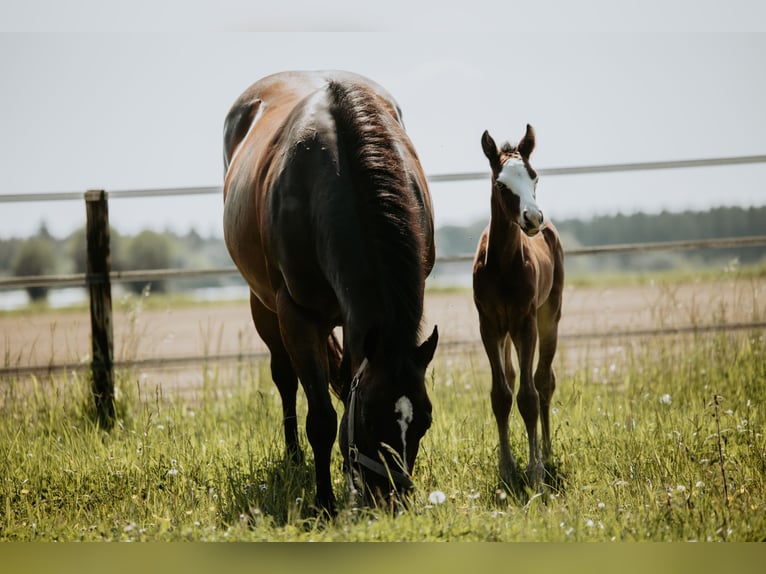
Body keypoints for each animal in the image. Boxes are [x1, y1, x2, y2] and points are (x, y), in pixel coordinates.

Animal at [222, 70, 439, 514]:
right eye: (370, 418)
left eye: (424, 420)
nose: (391, 499)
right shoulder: (297, 315)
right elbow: (321, 419)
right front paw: (324, 502)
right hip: (265, 309)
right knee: (285, 378)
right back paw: (294, 457)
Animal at [472, 125, 564, 490]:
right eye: (501, 184)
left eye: (534, 176)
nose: (533, 217)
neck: (502, 265)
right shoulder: (489, 326)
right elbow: (501, 395)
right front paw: (507, 468)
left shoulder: (526, 323)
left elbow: (528, 396)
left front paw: (535, 472)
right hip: (507, 332)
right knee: (513, 378)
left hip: (549, 317)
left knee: (543, 381)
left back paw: (548, 454)